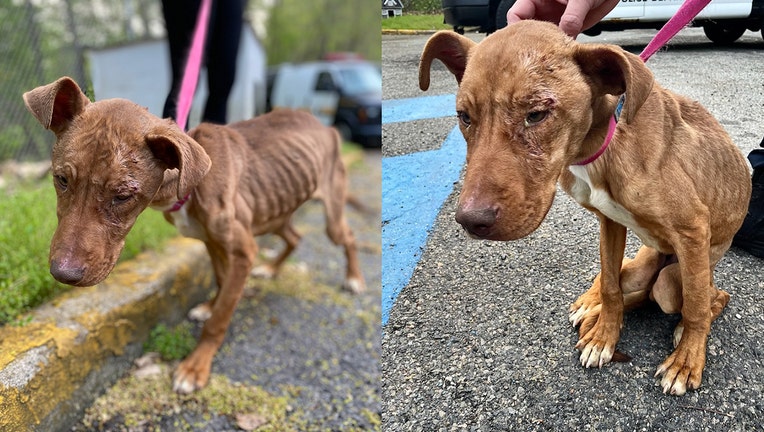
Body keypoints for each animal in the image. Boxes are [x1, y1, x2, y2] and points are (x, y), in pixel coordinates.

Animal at [23, 76, 368, 394]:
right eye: (61, 179)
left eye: (122, 196)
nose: (63, 274)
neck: (188, 184)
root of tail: (324, 125)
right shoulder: (213, 243)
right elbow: (221, 281)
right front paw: (211, 305)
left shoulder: (243, 250)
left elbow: (220, 319)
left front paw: (195, 365)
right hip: (275, 211)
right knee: (295, 237)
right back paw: (272, 269)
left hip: (329, 213)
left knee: (348, 238)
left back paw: (354, 278)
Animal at [418, 22, 748, 396]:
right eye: (464, 117)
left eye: (536, 114)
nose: (470, 221)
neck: (604, 144)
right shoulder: (610, 223)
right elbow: (610, 285)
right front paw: (604, 334)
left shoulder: (691, 230)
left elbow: (694, 306)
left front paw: (686, 360)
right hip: (641, 268)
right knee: (627, 285)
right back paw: (591, 309)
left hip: (674, 278)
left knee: (709, 296)